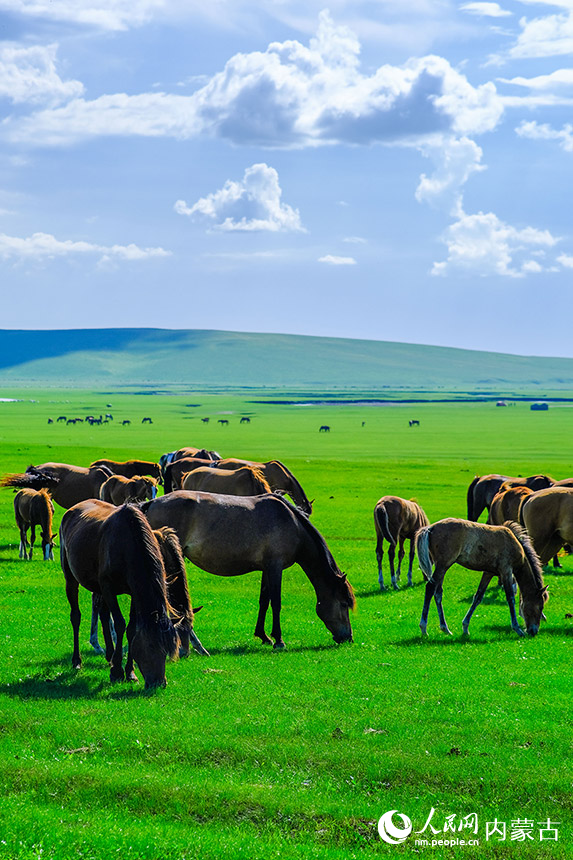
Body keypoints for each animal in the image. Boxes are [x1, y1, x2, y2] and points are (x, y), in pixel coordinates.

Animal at [59, 500, 180, 688]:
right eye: (151, 646)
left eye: (167, 650)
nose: (159, 683)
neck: (127, 546)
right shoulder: (108, 586)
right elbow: (120, 624)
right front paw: (116, 671)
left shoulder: (134, 591)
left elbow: (131, 628)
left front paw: (129, 672)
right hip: (71, 578)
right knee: (76, 616)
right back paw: (77, 660)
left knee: (102, 613)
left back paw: (109, 654)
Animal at [141, 488, 354, 648]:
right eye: (344, 604)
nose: (348, 638)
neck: (292, 523)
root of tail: (152, 503)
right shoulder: (275, 567)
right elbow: (276, 602)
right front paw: (279, 640)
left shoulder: (267, 568)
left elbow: (264, 601)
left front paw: (264, 636)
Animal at [416, 516, 544, 640]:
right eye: (540, 607)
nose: (534, 631)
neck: (514, 543)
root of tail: (430, 528)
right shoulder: (506, 571)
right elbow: (510, 598)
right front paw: (517, 629)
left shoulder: (488, 573)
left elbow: (478, 597)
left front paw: (465, 628)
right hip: (443, 565)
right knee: (430, 588)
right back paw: (424, 629)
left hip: (442, 566)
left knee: (438, 593)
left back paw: (445, 629)